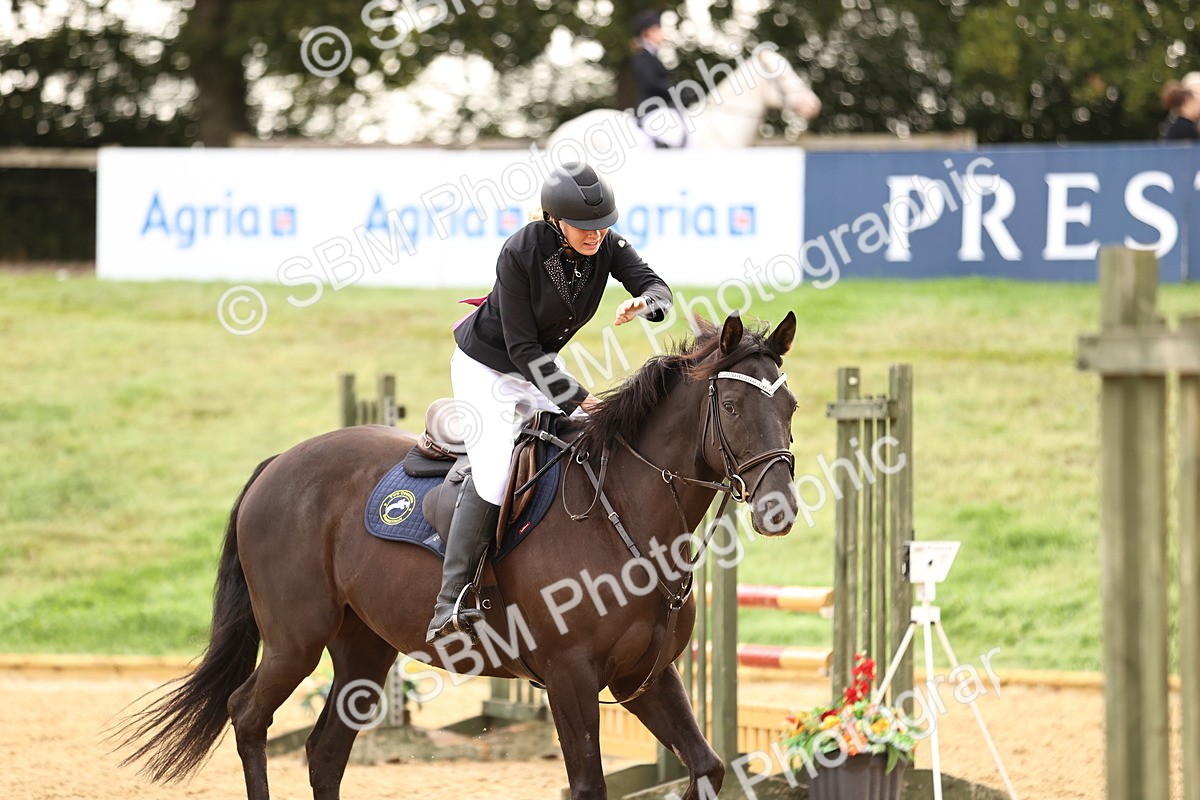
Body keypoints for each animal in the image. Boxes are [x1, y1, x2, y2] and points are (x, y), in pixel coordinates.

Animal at [115, 312, 801, 800]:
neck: (623, 514)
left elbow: (707, 766)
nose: (780, 511)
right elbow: (589, 784)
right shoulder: (571, 677)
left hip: (363, 650)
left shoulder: (645, 679)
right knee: (248, 716)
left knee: (325, 753)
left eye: (789, 406)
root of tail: (280, 462)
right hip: (294, 640)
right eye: (732, 406)